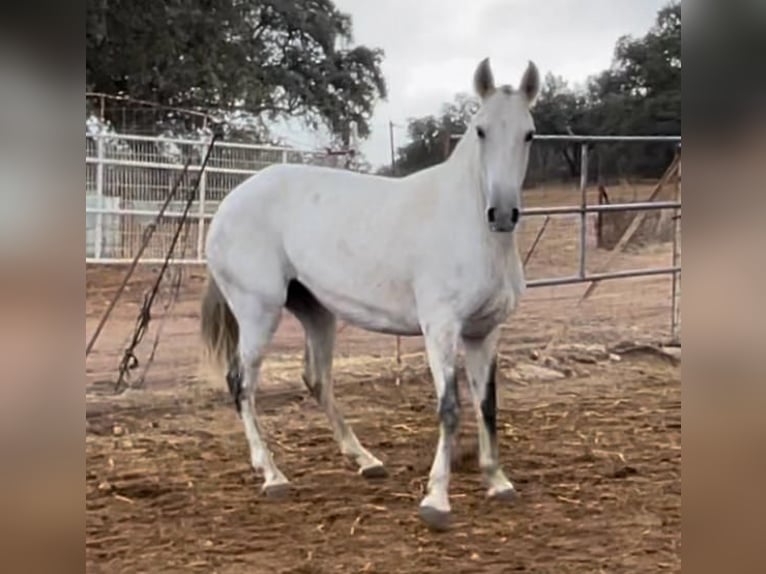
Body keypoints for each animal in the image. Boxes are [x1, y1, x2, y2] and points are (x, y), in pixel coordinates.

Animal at [201, 57, 544, 532]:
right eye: (480, 130)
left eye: (528, 134)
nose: (503, 214)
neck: (471, 228)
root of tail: (227, 204)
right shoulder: (441, 328)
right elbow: (450, 407)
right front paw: (436, 501)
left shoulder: (484, 332)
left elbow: (487, 404)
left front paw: (498, 482)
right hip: (257, 312)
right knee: (242, 384)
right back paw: (272, 475)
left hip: (317, 313)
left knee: (316, 379)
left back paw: (366, 461)